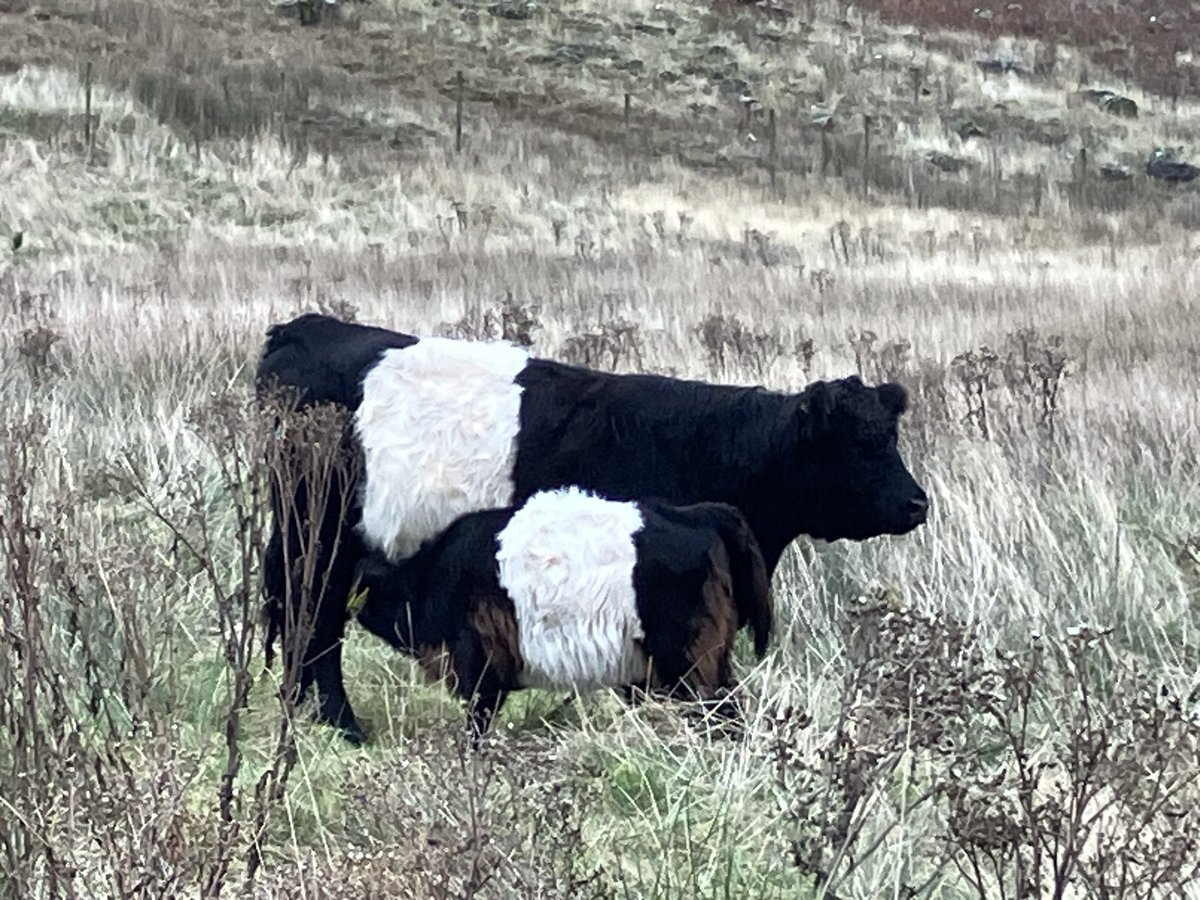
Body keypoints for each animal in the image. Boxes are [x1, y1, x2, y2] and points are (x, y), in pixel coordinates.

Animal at [351, 487, 774, 740]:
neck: (426, 580)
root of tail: (703, 515)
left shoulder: (480, 667)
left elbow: (477, 730)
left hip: (690, 661)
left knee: (725, 715)